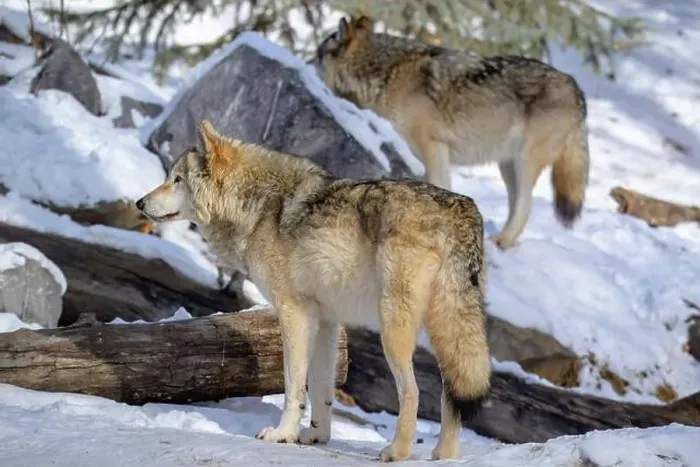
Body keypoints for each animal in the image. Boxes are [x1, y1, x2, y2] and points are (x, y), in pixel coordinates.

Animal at [135, 120, 491, 462]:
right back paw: (445, 456)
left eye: (177, 179)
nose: (139, 203)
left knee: (413, 392)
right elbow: (322, 386)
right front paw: (317, 436)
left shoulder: (293, 312)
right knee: (452, 394)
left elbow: (294, 383)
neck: (257, 207)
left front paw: (282, 434)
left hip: (394, 332)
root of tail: (462, 209)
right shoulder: (327, 321)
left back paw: (396, 453)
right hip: (446, 331)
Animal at [314, 16, 590, 249]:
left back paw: (501, 242)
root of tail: (576, 86)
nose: (307, 64)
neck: (387, 74)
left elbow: (439, 185)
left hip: (525, 161)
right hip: (507, 165)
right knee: (515, 203)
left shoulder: (433, 148)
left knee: (526, 203)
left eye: (317, 56)